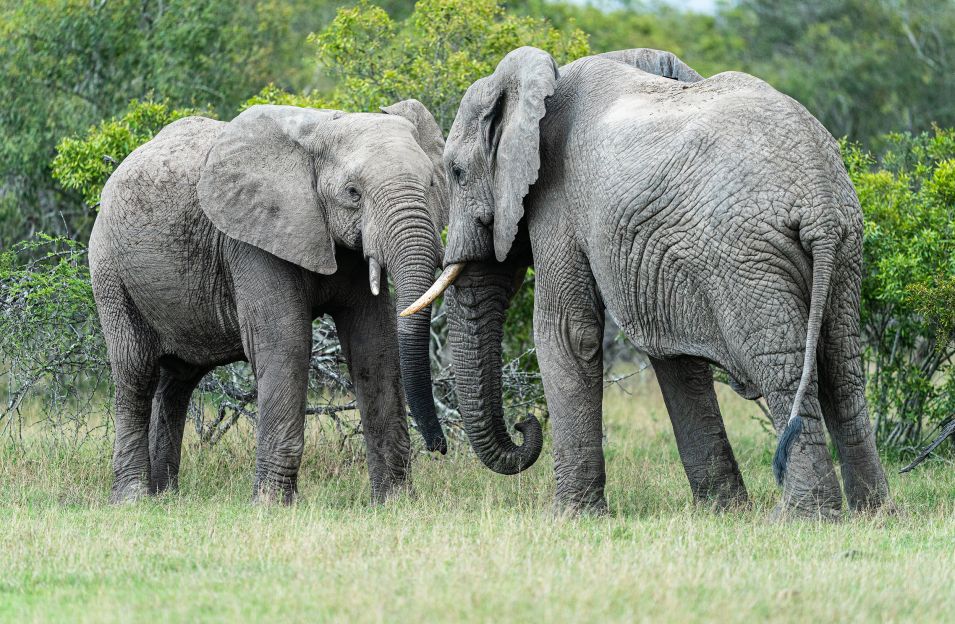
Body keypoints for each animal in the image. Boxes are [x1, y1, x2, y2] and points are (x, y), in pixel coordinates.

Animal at [90, 99, 449, 504]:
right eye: (353, 192)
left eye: (432, 183)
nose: (440, 447)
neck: (321, 128)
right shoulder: (252, 241)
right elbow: (285, 343)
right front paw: (271, 505)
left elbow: (374, 345)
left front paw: (395, 502)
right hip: (109, 269)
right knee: (135, 371)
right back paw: (133, 499)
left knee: (177, 381)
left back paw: (165, 496)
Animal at [404, 47, 891, 518]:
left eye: (457, 173)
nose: (525, 424)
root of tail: (820, 201)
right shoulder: (656, 254)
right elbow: (672, 354)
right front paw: (723, 511)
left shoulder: (558, 199)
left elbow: (567, 332)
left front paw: (567, 518)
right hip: (844, 245)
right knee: (842, 365)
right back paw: (875, 513)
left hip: (747, 256)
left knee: (783, 368)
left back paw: (801, 517)